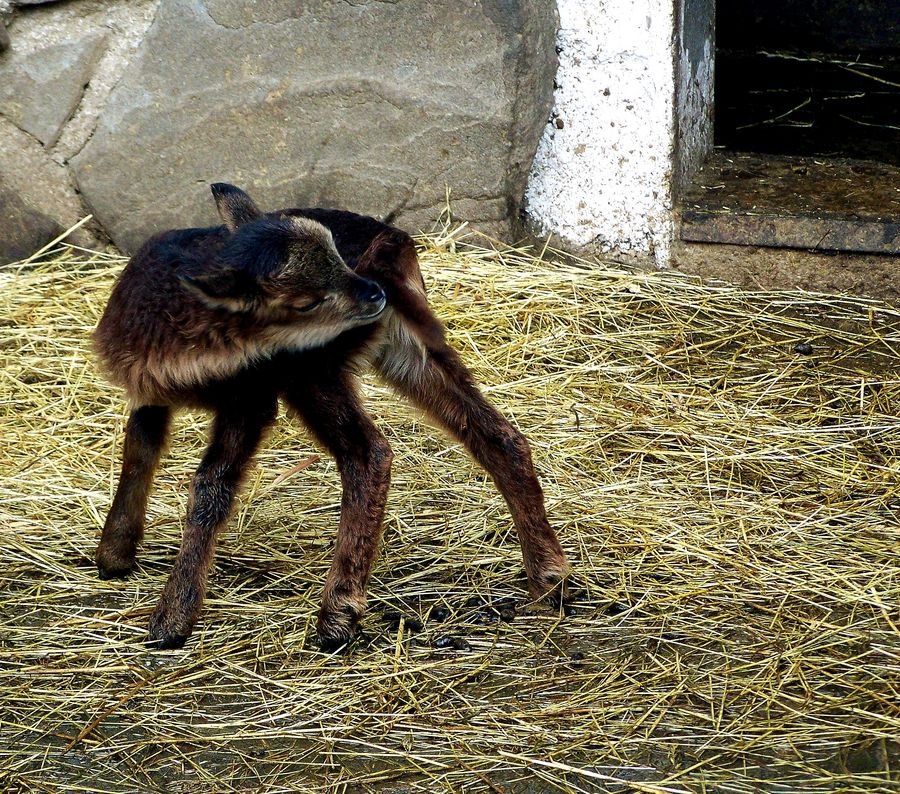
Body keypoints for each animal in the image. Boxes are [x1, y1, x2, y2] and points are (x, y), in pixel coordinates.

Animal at [93, 186, 568, 648]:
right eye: (305, 301)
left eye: (337, 258)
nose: (373, 293)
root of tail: (390, 248)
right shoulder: (150, 392)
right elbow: (138, 449)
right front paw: (114, 555)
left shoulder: (250, 397)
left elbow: (210, 486)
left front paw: (172, 618)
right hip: (406, 348)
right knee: (497, 435)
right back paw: (549, 578)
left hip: (315, 369)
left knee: (368, 452)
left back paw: (337, 615)